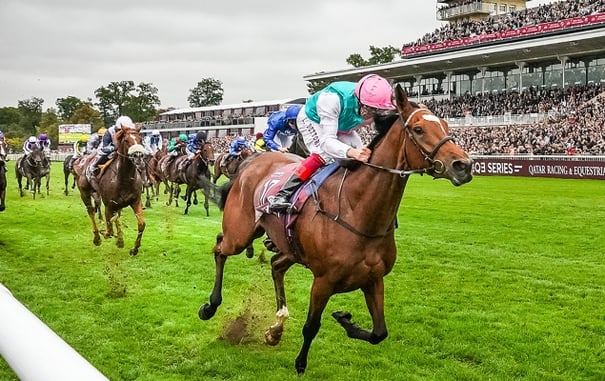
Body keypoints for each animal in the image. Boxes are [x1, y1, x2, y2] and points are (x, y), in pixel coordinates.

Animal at [75, 126, 146, 254]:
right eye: (126, 140)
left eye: (140, 139)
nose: (138, 156)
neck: (125, 178)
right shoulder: (109, 204)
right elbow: (109, 228)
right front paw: (106, 233)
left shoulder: (135, 201)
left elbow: (141, 224)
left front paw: (134, 248)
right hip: (84, 192)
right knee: (91, 211)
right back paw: (97, 238)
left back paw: (120, 239)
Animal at [198, 84, 472, 372]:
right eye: (419, 129)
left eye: (445, 124)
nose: (463, 165)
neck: (358, 211)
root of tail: (250, 163)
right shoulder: (323, 281)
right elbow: (311, 326)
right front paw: (301, 363)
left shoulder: (374, 279)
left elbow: (379, 333)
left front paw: (344, 319)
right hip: (239, 234)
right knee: (220, 247)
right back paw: (210, 306)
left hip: (289, 247)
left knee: (275, 265)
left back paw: (276, 327)